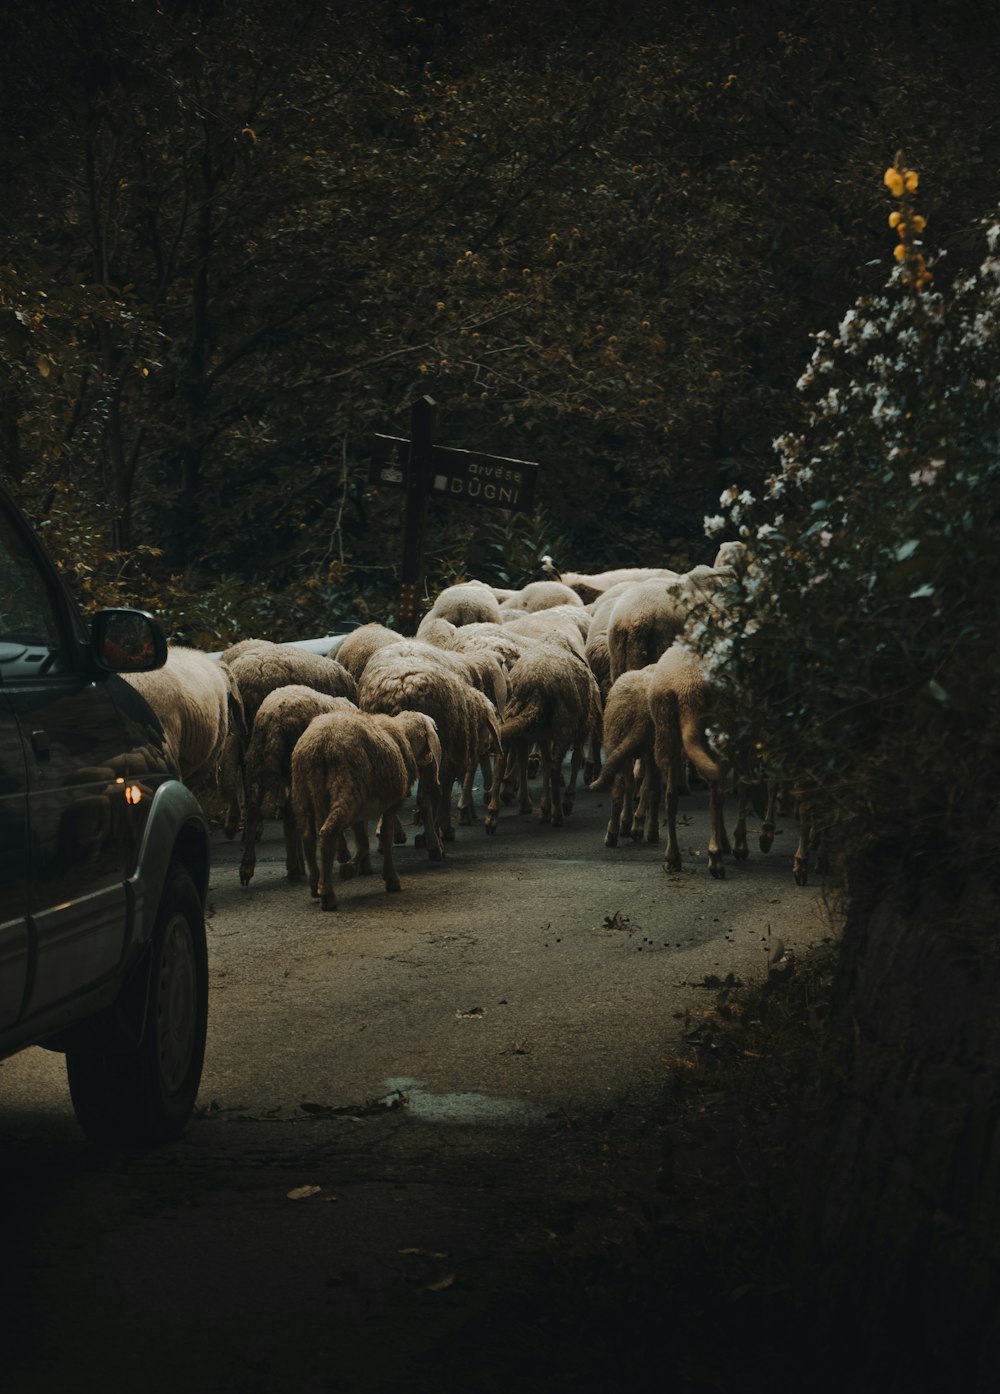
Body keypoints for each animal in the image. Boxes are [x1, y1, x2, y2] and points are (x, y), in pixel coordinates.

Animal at [238, 688, 359, 892]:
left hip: (256, 758)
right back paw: (295, 867)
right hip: (291, 765)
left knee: (253, 809)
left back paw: (248, 867)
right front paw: (342, 852)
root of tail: (273, 719)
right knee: (289, 817)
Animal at [290, 708, 443, 914]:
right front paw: (391, 878)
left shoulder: (360, 811)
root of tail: (320, 743)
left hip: (303, 791)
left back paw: (315, 886)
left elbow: (363, 841)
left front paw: (350, 868)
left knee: (308, 838)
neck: (404, 736)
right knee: (328, 833)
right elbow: (386, 836)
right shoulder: (390, 804)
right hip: (347, 786)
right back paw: (327, 895)